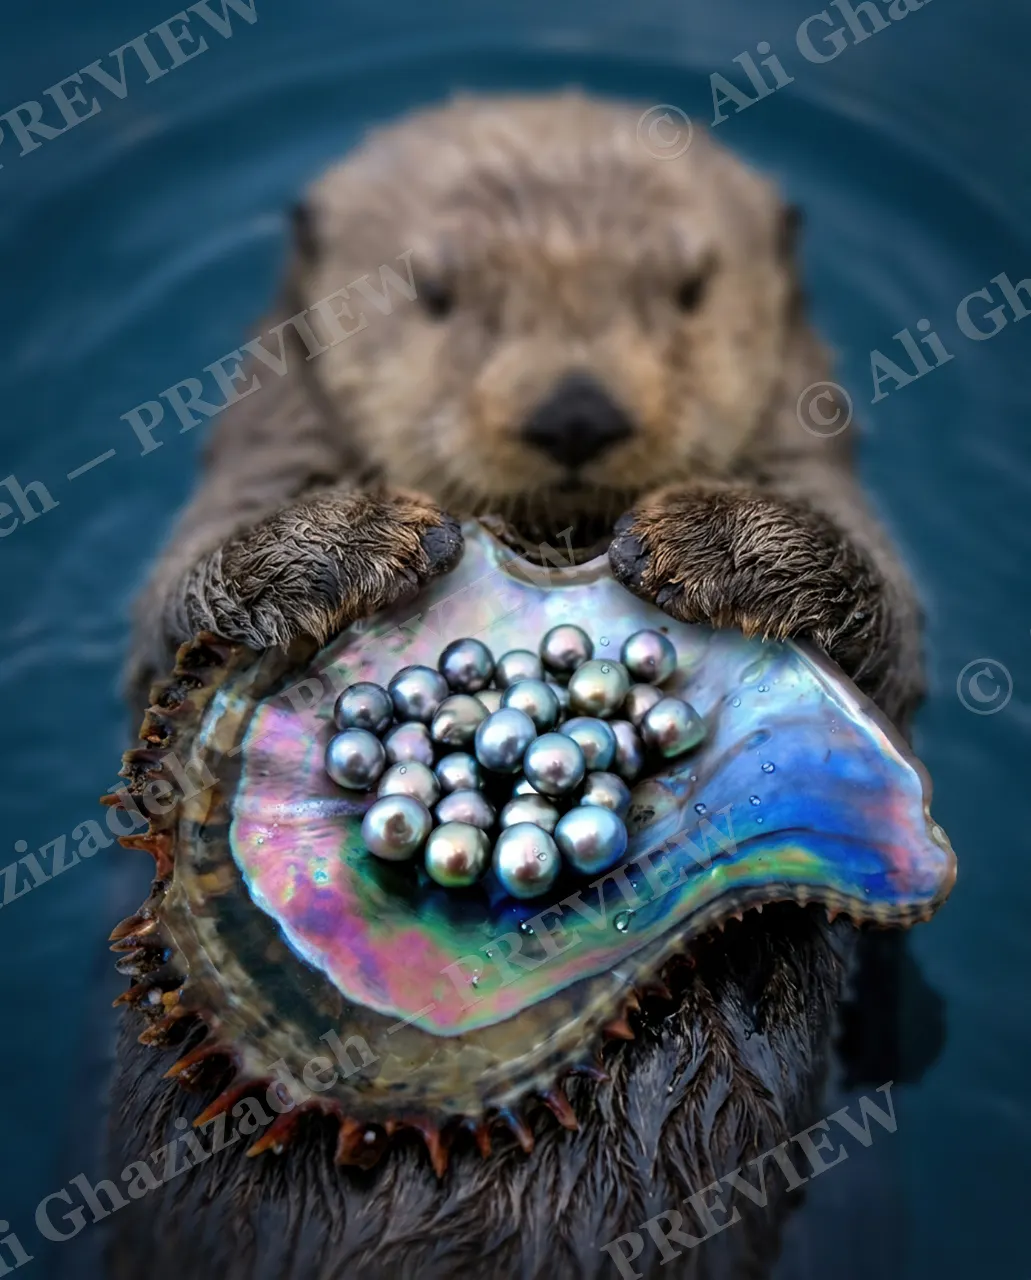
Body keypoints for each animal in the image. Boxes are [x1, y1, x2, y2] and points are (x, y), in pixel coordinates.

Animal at [110, 94, 925, 1279]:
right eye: (436, 292)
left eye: (689, 288)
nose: (575, 411)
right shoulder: (259, 454)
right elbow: (176, 604)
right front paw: (354, 539)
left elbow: (889, 626)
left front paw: (705, 537)